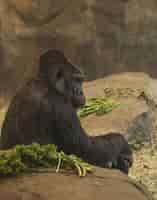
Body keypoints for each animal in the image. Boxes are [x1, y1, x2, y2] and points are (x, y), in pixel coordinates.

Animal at [0, 49, 132, 173]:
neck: (45, 81)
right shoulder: (62, 106)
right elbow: (90, 150)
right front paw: (121, 144)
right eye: (76, 80)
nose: (81, 92)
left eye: (80, 80)